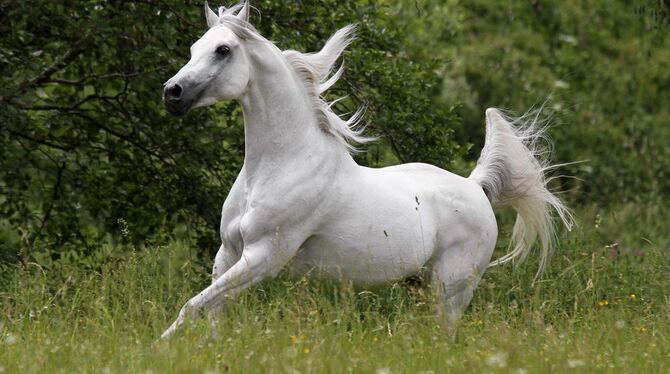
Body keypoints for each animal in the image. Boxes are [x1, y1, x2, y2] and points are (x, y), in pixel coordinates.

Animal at [160, 0, 576, 338]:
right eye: (194, 48)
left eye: (223, 50)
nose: (172, 93)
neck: (278, 167)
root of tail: (477, 188)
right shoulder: (228, 254)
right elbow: (210, 312)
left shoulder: (264, 257)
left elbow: (192, 307)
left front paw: (161, 347)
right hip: (420, 282)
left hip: (452, 288)